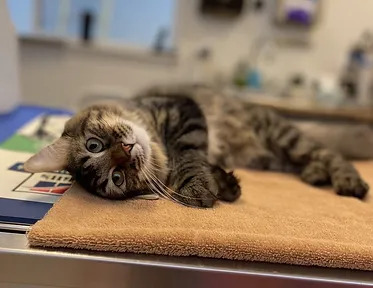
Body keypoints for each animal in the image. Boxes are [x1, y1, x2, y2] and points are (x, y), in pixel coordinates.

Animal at [24, 84, 368, 208]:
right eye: (117, 178)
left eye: (93, 145)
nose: (126, 150)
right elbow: (204, 166)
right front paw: (224, 184)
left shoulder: (183, 112)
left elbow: (187, 155)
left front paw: (197, 186)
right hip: (269, 157)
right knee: (307, 160)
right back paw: (315, 174)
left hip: (284, 138)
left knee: (330, 154)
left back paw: (348, 181)